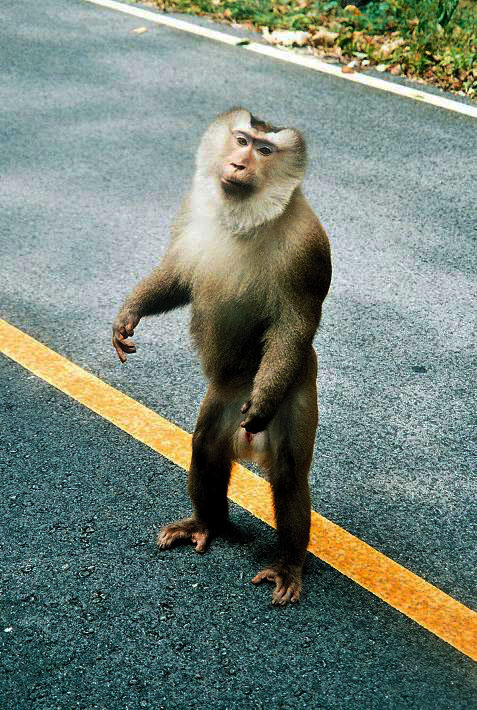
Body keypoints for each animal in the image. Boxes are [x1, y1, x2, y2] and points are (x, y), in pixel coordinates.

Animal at [112, 108, 332, 605]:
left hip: (294, 387)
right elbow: (178, 275)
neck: (244, 219)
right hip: (225, 398)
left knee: (289, 473)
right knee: (207, 444)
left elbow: (293, 326)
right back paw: (207, 522)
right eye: (242, 140)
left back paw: (289, 562)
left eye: (265, 150)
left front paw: (264, 401)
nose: (238, 163)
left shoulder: (308, 249)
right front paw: (128, 315)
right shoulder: (191, 208)